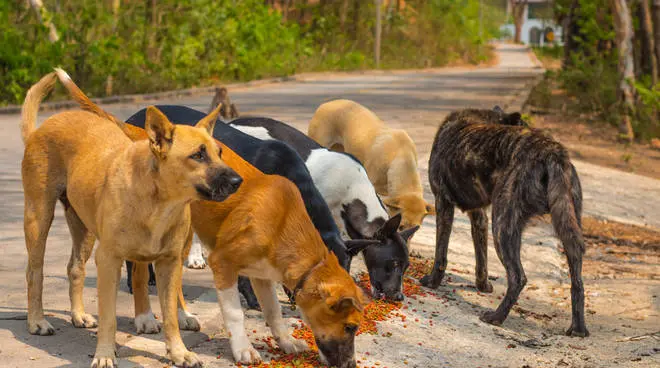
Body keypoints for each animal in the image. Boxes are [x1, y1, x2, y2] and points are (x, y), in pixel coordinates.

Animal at [20, 69, 244, 368]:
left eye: (219, 152)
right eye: (197, 155)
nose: (238, 181)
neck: (159, 201)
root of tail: (40, 129)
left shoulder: (168, 263)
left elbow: (170, 316)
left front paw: (179, 352)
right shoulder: (109, 261)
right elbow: (109, 318)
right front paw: (104, 354)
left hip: (83, 229)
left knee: (75, 268)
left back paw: (78, 315)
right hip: (38, 219)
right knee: (35, 272)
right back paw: (37, 322)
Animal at [418, 105, 588, 336]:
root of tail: (551, 151)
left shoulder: (443, 203)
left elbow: (440, 254)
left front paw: (432, 282)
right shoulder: (479, 215)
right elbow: (481, 259)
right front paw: (482, 286)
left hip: (502, 226)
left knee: (518, 277)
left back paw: (496, 317)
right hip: (568, 229)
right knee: (577, 281)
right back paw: (578, 328)